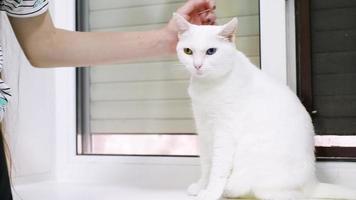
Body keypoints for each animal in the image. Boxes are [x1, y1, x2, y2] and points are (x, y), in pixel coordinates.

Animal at [174, 13, 356, 200]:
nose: (197, 65)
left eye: (211, 51)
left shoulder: (224, 133)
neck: (208, 87)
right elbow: (207, 164)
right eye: (188, 51)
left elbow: (218, 168)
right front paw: (201, 186)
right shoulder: (203, 129)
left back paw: (230, 189)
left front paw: (211, 192)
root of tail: (312, 183)